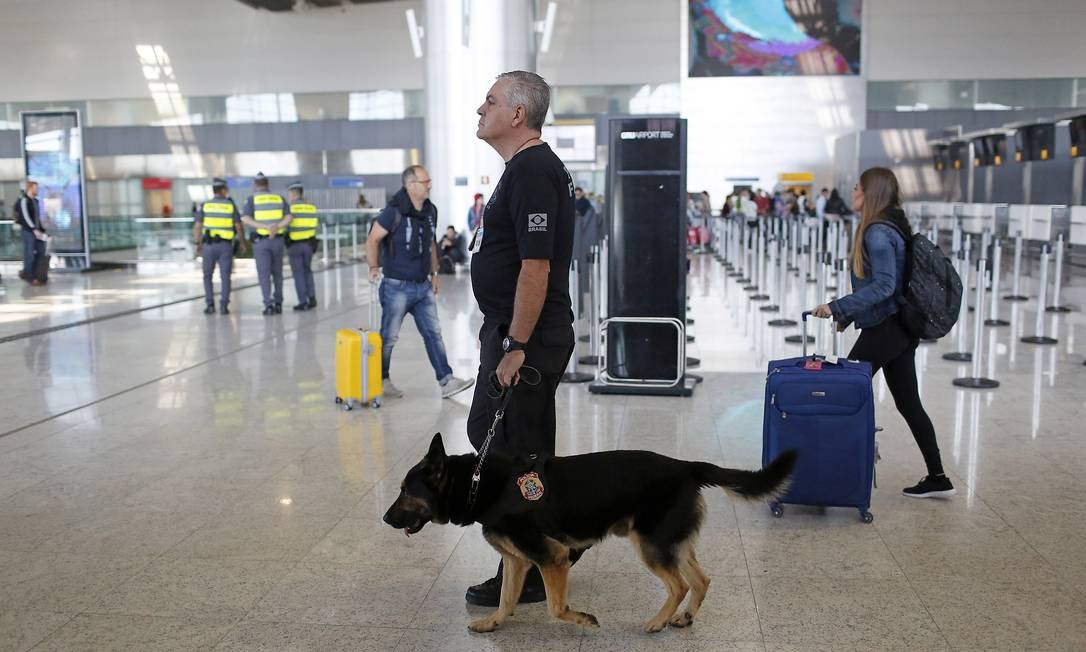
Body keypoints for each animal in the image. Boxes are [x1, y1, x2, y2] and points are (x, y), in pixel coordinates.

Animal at [386, 434, 794, 634]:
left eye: (405, 491)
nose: (385, 518)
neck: (478, 483)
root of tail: (686, 467)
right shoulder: (518, 561)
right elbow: (505, 600)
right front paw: (494, 624)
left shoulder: (553, 558)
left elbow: (555, 607)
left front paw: (582, 619)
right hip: (671, 544)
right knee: (701, 580)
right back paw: (683, 618)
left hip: (651, 545)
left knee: (679, 585)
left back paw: (659, 621)